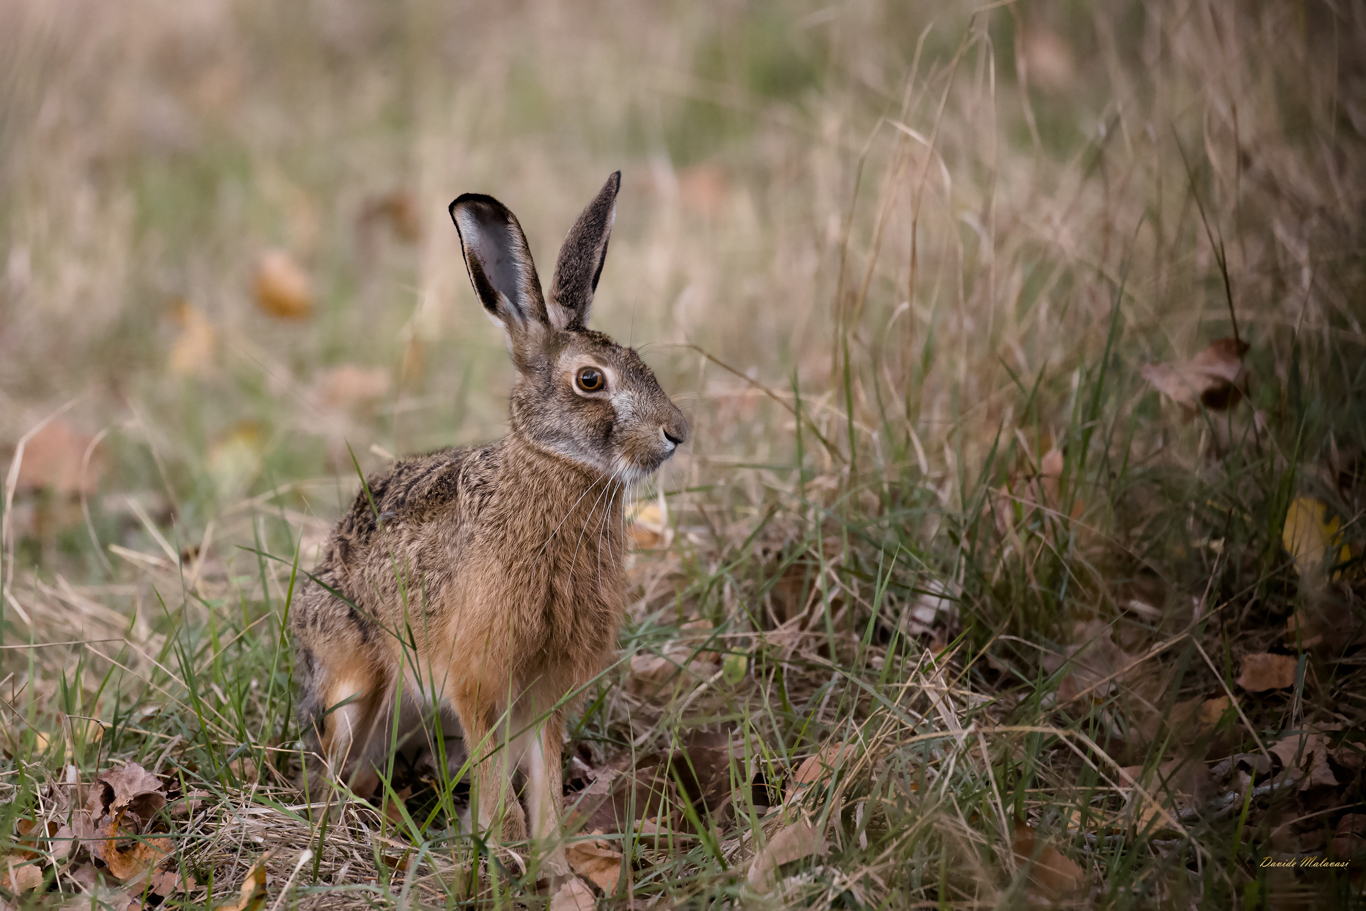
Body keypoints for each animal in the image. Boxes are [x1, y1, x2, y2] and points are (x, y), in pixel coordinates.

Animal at [291, 171, 688, 877]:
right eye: (591, 380)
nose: (677, 433)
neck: (552, 471)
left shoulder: (547, 687)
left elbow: (544, 770)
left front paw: (552, 864)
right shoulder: (478, 679)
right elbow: (497, 769)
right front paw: (502, 852)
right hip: (352, 681)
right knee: (334, 770)